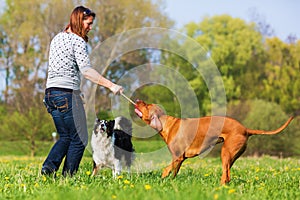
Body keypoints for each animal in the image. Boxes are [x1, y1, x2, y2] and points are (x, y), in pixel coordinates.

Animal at [135, 100, 294, 184]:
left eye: (147, 105)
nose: (136, 100)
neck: (167, 124)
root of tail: (245, 129)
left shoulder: (178, 157)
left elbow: (166, 169)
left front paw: (162, 179)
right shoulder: (180, 159)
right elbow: (174, 172)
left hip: (225, 152)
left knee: (226, 176)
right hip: (231, 156)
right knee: (227, 174)